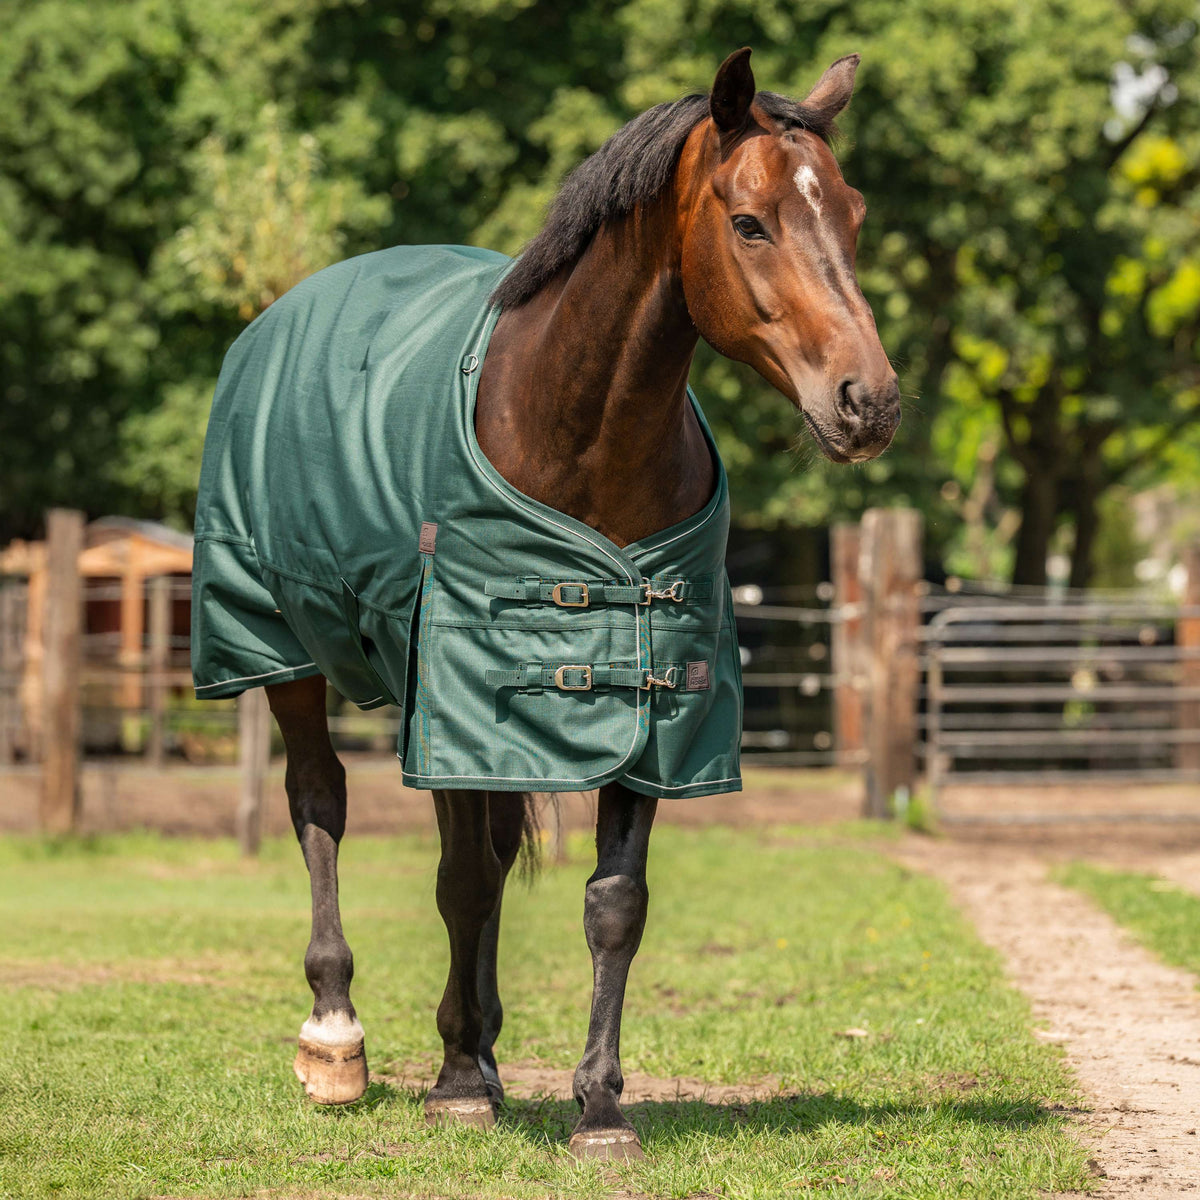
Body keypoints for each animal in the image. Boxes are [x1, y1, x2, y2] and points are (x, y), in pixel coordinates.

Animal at [195, 47, 899, 1160]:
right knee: (320, 805)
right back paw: (339, 1039)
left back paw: (479, 1048)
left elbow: (613, 903)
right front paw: (454, 1086)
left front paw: (597, 1106)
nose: (868, 402)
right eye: (751, 223)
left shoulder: (654, 705)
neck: (579, 431)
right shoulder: (451, 679)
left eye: (855, 215)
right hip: (285, 651)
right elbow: (462, 883)